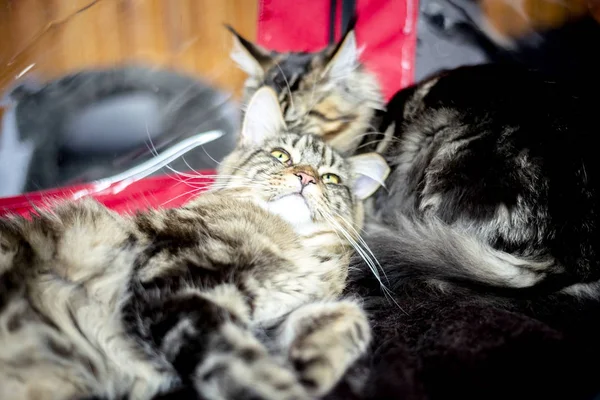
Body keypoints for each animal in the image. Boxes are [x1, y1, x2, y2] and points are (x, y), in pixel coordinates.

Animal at [0, 87, 390, 400]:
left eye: (330, 178)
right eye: (282, 156)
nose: (306, 177)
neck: (287, 240)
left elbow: (346, 318)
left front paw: (317, 356)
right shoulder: (178, 288)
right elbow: (246, 368)